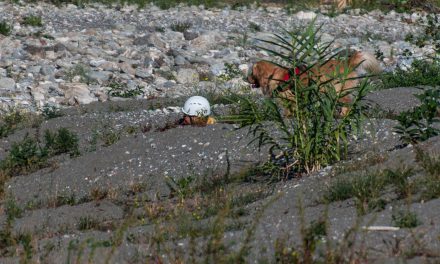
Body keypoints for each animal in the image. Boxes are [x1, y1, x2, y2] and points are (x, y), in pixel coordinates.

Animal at [248, 50, 382, 115]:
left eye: (251, 72)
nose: (246, 78)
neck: (274, 75)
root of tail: (347, 63)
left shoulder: (290, 99)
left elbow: (289, 111)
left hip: (338, 91)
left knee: (347, 104)